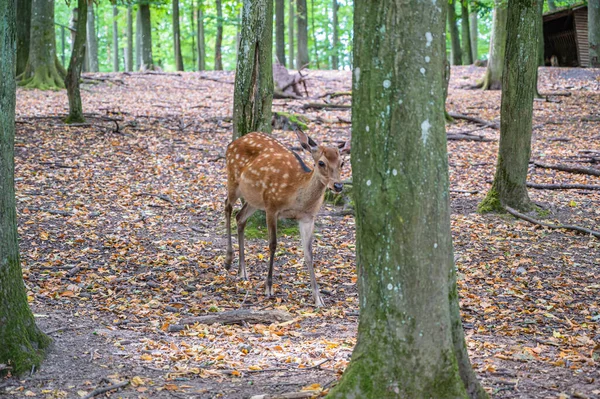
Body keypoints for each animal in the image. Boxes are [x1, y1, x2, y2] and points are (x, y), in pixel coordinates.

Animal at [224, 130, 346, 308]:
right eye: (321, 163)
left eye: (342, 163)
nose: (338, 186)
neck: (296, 195)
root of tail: (232, 143)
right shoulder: (272, 206)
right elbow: (273, 244)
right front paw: (268, 288)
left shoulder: (308, 218)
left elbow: (309, 253)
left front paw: (318, 298)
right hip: (234, 181)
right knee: (227, 206)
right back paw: (228, 260)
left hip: (255, 199)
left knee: (240, 217)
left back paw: (243, 271)